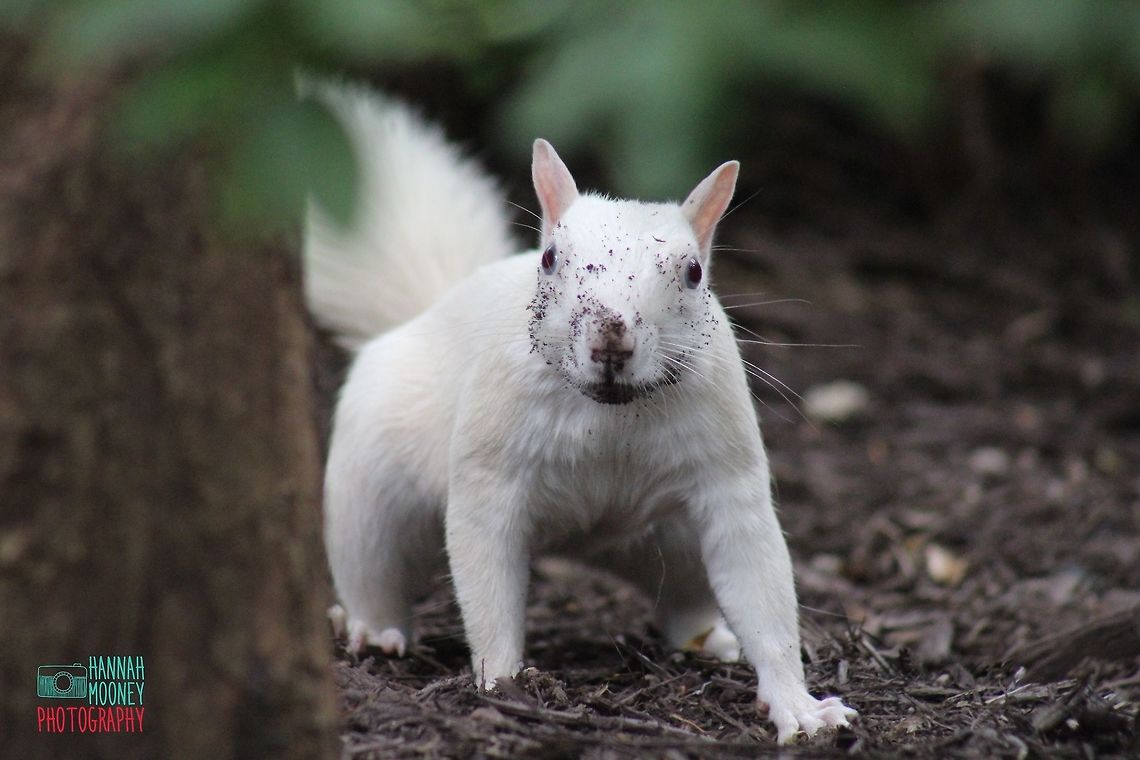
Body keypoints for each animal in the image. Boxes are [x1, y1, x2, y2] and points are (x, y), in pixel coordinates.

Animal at [303, 80, 856, 744]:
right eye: (548, 259)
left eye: (694, 272)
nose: (611, 337)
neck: (611, 412)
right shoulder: (490, 472)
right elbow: (487, 579)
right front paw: (503, 680)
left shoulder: (728, 475)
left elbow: (760, 582)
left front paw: (799, 706)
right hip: (370, 494)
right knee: (371, 570)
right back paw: (372, 629)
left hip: (673, 543)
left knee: (690, 599)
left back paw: (712, 639)